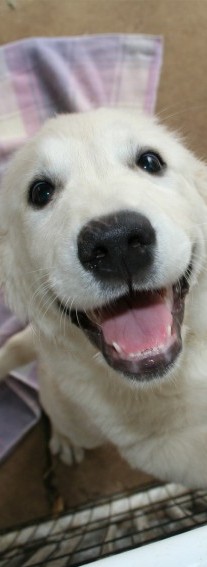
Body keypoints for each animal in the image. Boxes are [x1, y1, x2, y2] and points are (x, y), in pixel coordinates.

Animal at [0, 110, 207, 488]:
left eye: (150, 161)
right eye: (40, 191)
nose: (116, 242)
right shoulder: (157, 447)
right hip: (75, 414)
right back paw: (63, 440)